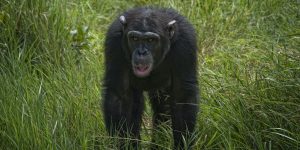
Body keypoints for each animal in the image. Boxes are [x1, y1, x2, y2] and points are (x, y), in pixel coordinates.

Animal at [103, 6, 199, 149]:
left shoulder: (186, 44)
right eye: (134, 39)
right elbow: (119, 96)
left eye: (150, 40)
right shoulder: (114, 41)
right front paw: (122, 143)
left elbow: (182, 98)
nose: (141, 52)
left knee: (162, 109)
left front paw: (182, 144)